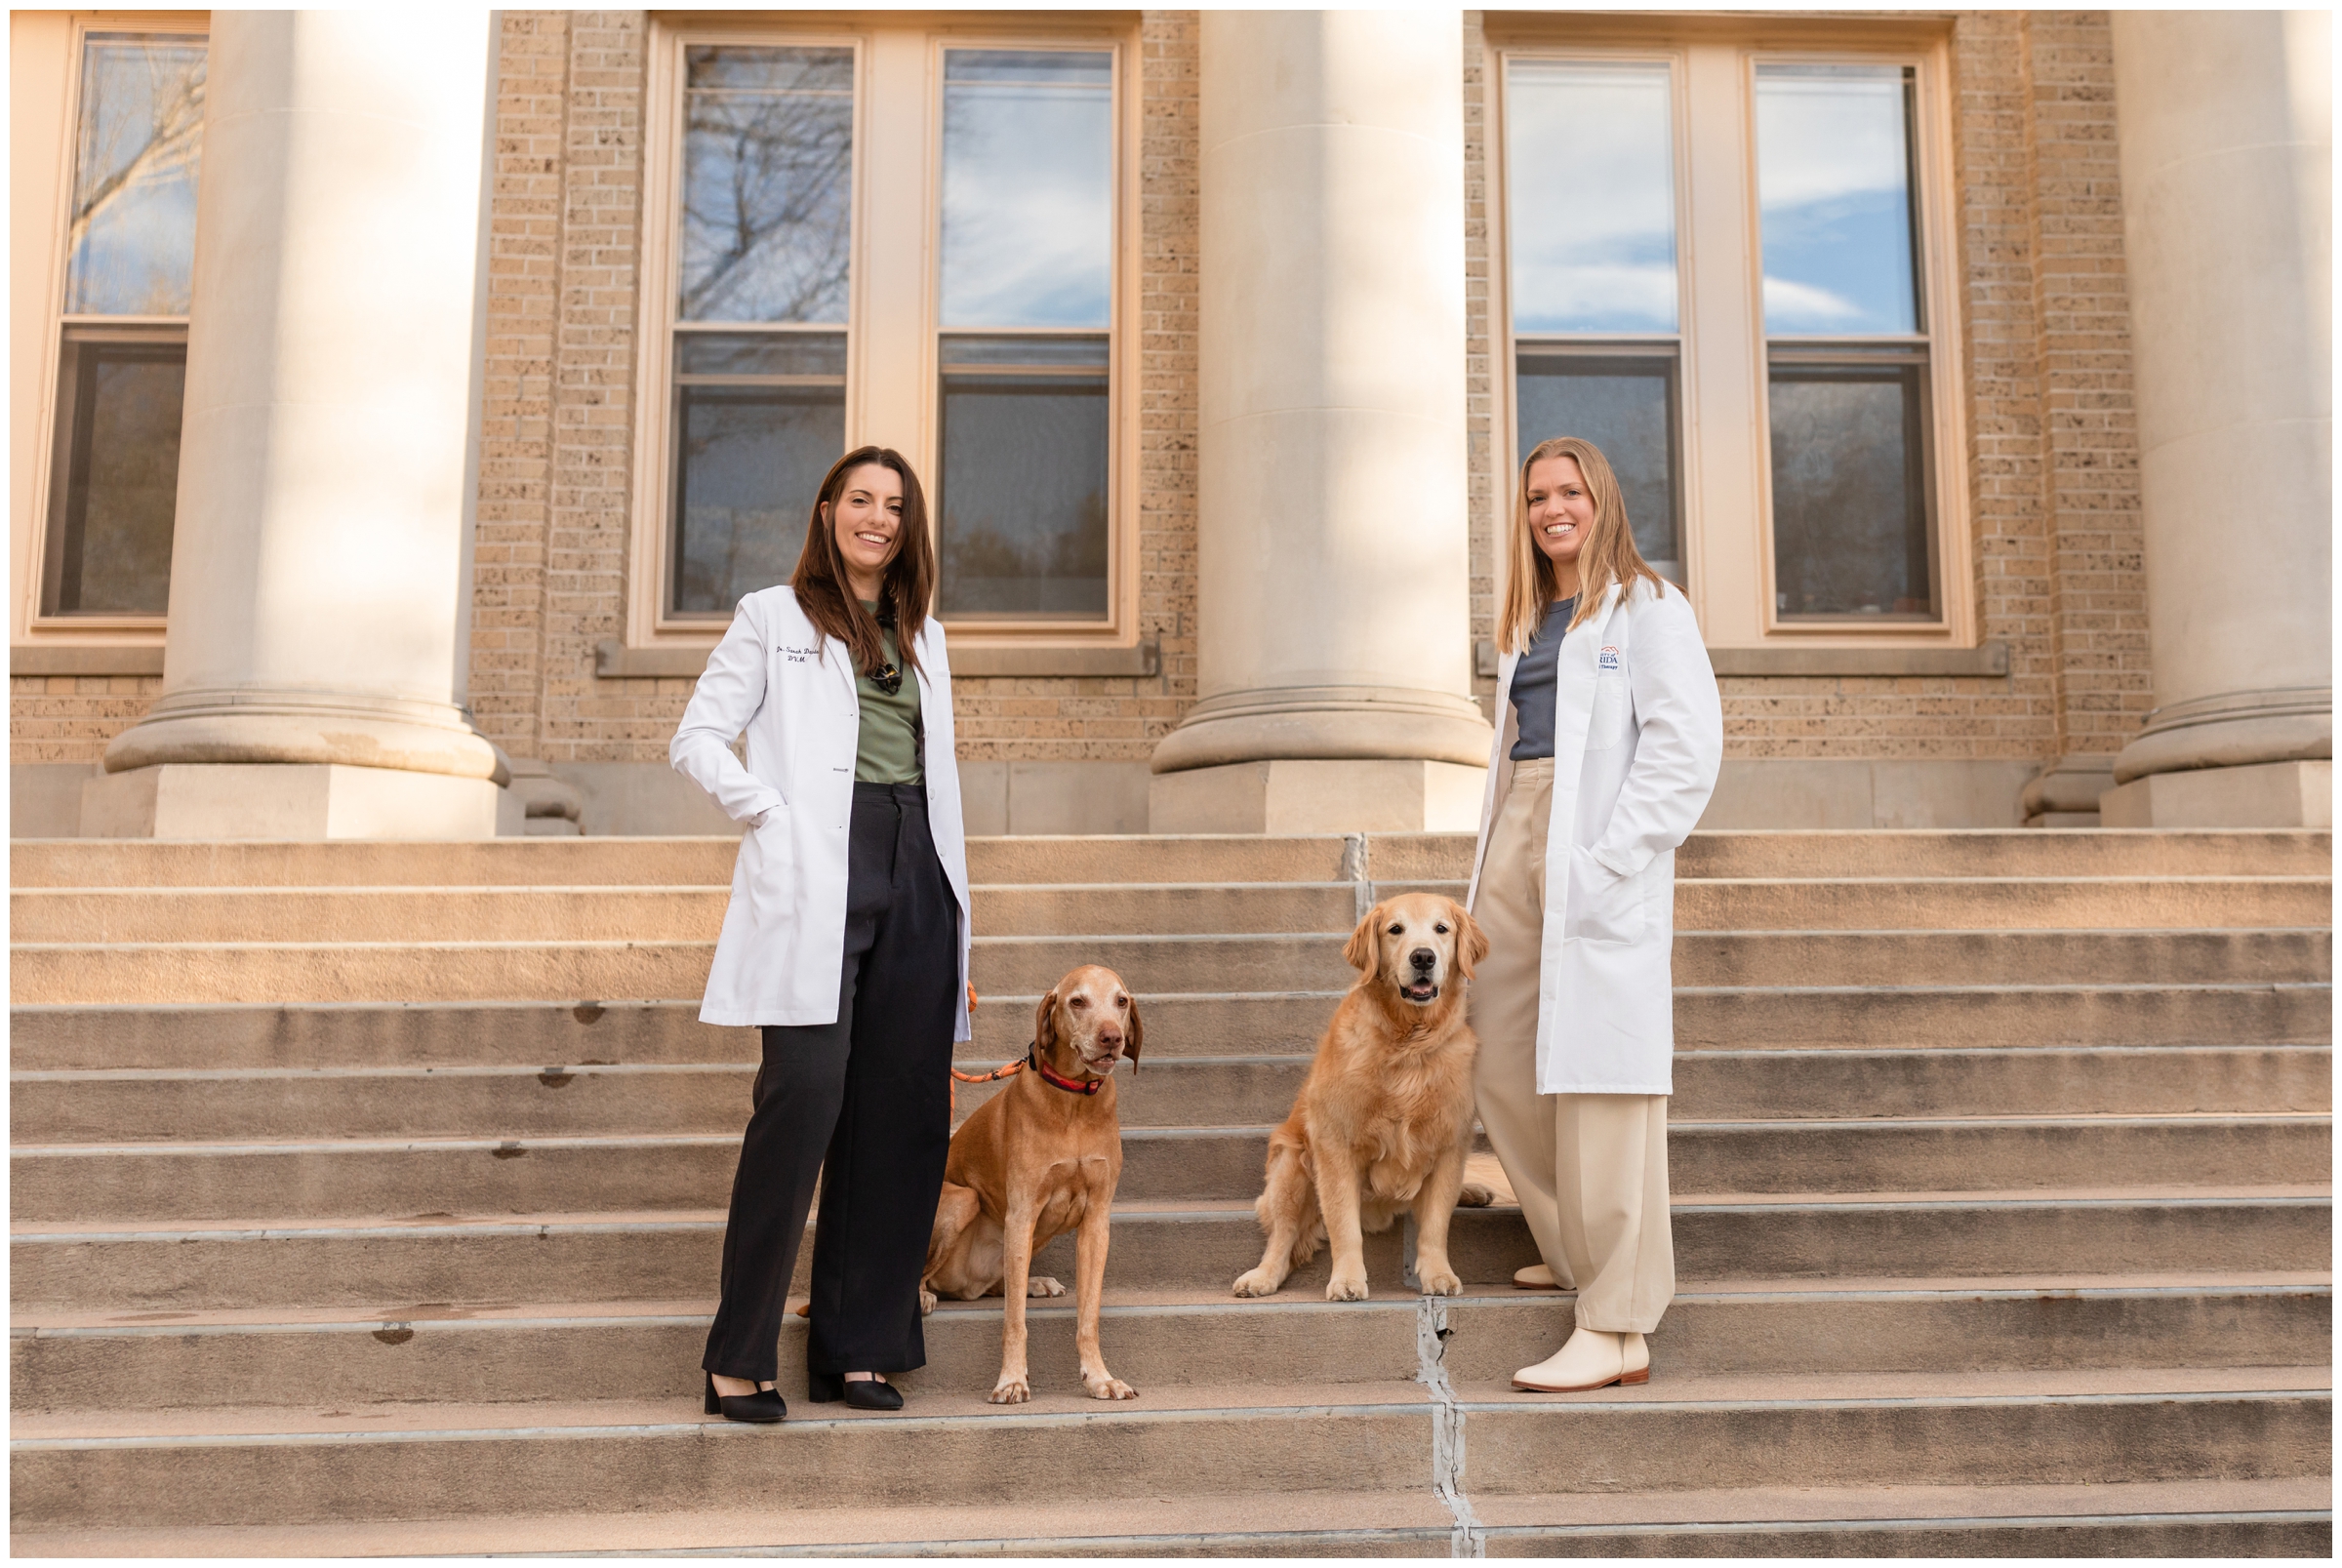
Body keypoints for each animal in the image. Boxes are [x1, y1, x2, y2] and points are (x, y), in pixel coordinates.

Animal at [922, 964, 1143, 1404]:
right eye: (1077, 1001)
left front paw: (1099, 1377)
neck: (1075, 1102)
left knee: (991, 1287)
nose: (1112, 1037)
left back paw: (1033, 1283)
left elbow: (1088, 1318)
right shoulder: (1021, 1215)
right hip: (965, 1200)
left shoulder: (1096, 1223)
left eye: (1121, 1001)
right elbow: (1014, 1323)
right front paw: (1011, 1379)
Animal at [1236, 889, 1489, 1310]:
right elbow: (1344, 1226)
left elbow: (1436, 1223)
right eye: (1395, 929)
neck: (1408, 1042)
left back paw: (1473, 1191)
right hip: (1291, 1166)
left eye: (1441, 929)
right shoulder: (1334, 1144)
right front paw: (1347, 1281)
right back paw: (1261, 1277)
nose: (1423, 957)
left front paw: (1438, 1274)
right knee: (1282, 1238)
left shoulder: (1451, 1143)